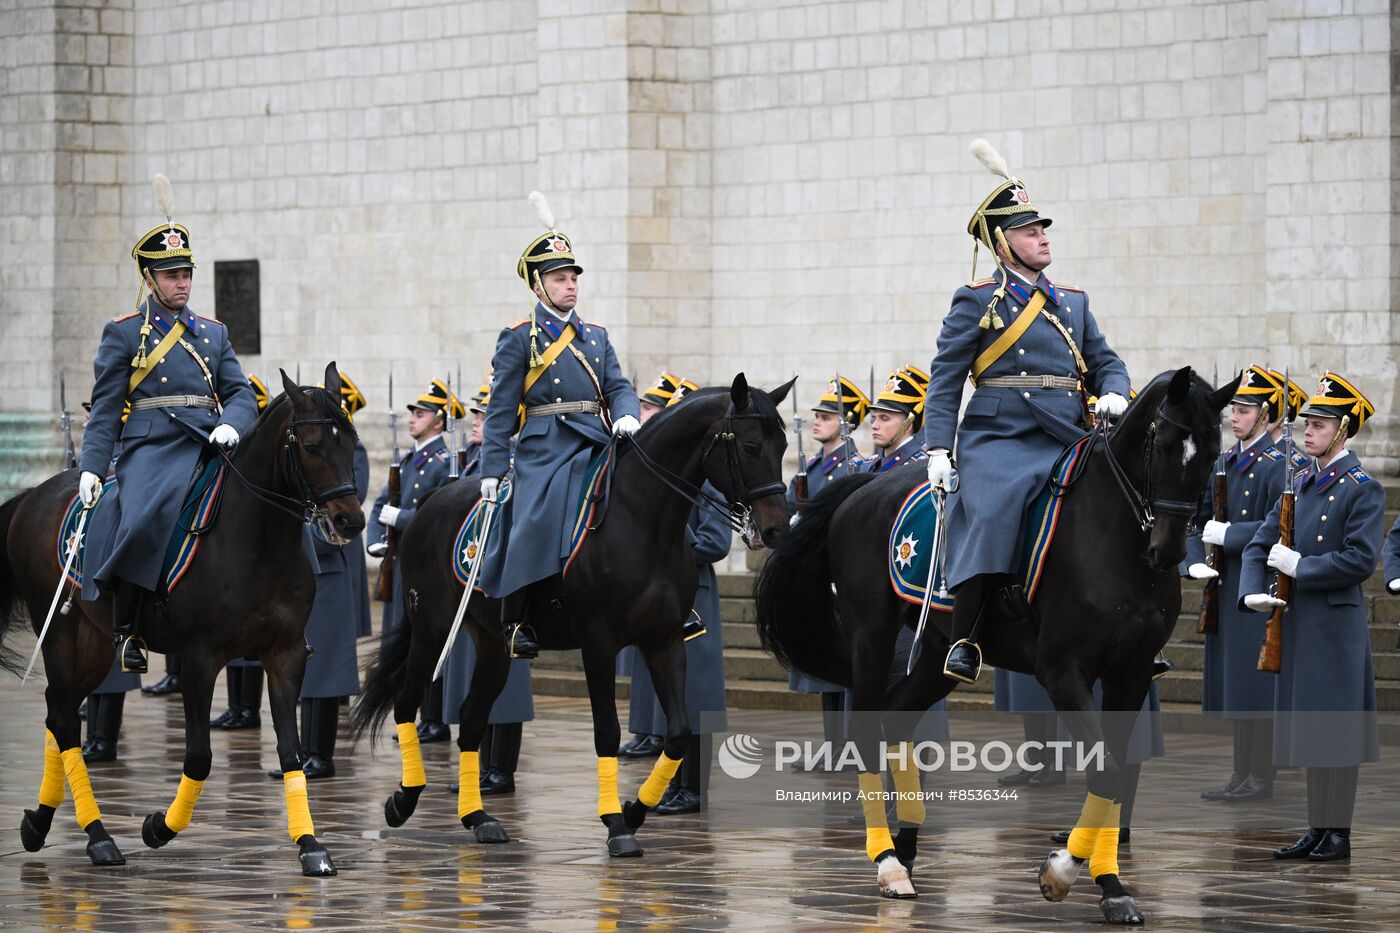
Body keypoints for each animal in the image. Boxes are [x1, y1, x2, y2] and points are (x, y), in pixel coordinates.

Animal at [0, 361, 366, 874]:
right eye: (312, 446)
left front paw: (310, 845)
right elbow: (198, 756)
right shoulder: (199, 658)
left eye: (351, 443)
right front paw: (157, 828)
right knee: (64, 717)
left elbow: (290, 751)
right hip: (58, 632)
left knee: (59, 710)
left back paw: (43, 824)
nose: (349, 521)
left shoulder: (286, 653)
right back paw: (96, 836)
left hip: (94, 645)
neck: (258, 536)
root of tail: (35, 493)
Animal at [350, 375, 795, 851]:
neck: (643, 520)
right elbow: (608, 732)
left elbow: (676, 732)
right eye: (750, 446)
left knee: (470, 721)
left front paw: (634, 810)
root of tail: (431, 503)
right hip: (432, 630)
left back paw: (478, 817)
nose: (776, 529)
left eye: (784, 445)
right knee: (405, 704)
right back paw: (404, 799)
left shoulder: (665, 640)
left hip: (492, 646)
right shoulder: (598, 644)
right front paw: (616, 823)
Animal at [756, 367, 1237, 918]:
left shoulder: (1131, 673)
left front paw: (1110, 885)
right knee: (866, 735)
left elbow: (1113, 774)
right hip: (871, 637)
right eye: (1163, 445)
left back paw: (907, 848)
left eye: (1213, 451)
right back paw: (888, 861)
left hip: (935, 653)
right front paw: (1062, 871)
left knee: (897, 719)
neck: (1115, 534)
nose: (1169, 551)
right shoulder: (1062, 670)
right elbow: (1107, 768)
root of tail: (867, 487)